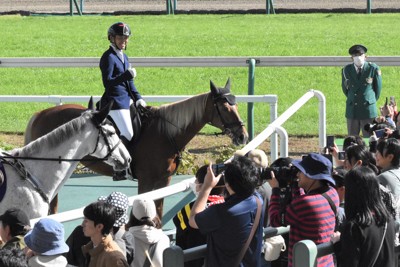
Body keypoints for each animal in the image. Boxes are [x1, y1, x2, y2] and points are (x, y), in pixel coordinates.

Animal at [24, 78, 247, 220]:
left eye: (235, 105)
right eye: (225, 107)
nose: (243, 136)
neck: (165, 132)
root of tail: (41, 113)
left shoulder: (163, 180)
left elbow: (157, 214)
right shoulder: (146, 181)